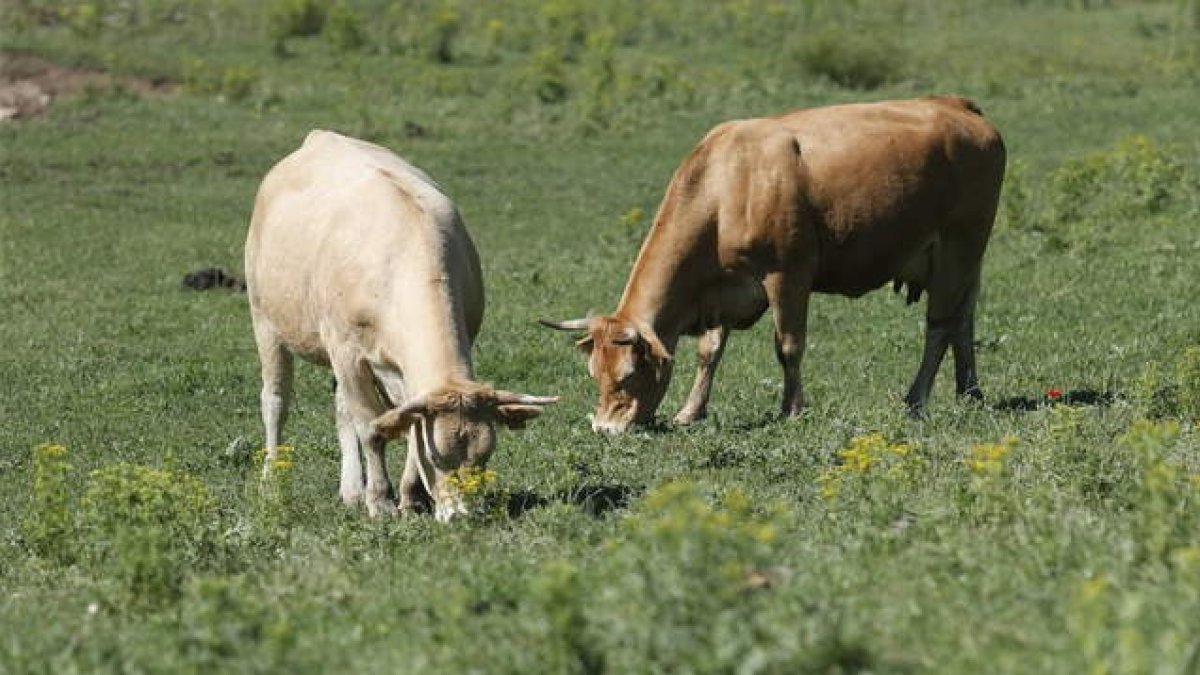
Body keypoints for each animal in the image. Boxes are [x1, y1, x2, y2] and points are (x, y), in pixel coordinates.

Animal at [246, 130, 556, 520]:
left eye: (483, 458)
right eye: (439, 461)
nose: (461, 516)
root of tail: (319, 137)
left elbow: (407, 424)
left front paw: (411, 496)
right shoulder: (347, 352)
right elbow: (372, 428)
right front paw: (380, 500)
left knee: (342, 408)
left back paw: (351, 489)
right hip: (265, 321)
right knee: (275, 402)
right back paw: (272, 481)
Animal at [543, 96, 1006, 434]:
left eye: (626, 376)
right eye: (594, 375)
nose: (604, 429)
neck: (724, 188)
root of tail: (958, 106)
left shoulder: (788, 276)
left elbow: (789, 347)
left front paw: (792, 410)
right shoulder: (720, 290)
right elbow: (709, 352)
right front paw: (691, 411)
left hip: (959, 247)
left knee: (940, 325)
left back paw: (916, 399)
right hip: (966, 261)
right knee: (964, 318)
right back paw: (969, 390)